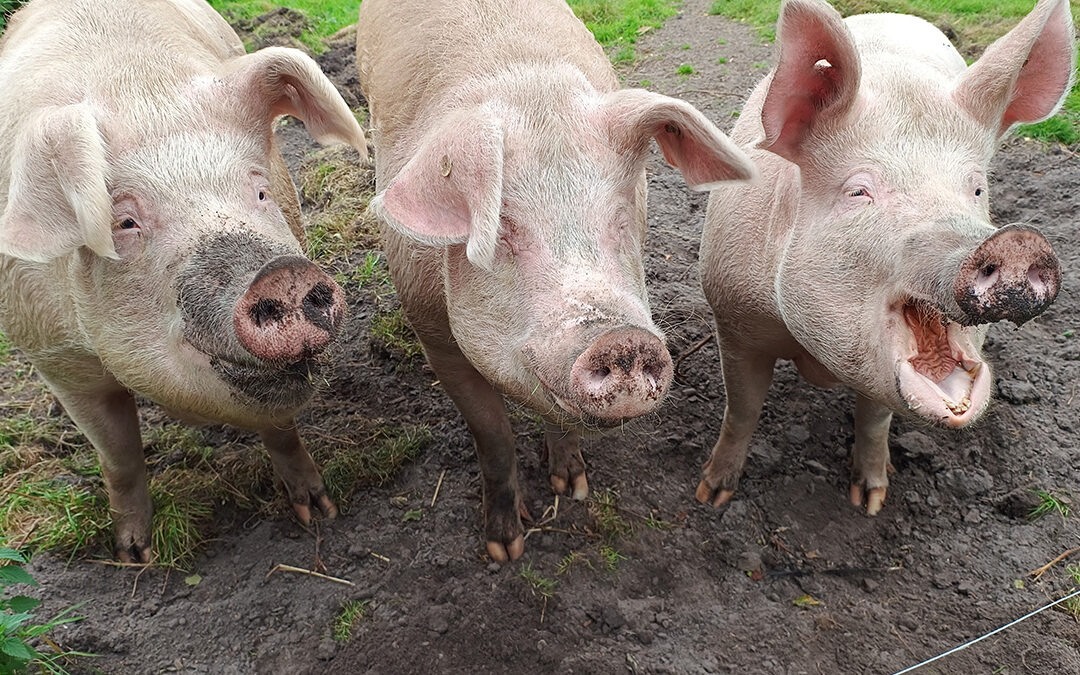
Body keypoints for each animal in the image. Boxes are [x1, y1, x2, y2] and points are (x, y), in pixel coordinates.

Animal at [0, 0, 369, 561]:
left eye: (260, 190)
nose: (279, 275)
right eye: (124, 222)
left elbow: (281, 427)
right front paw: (135, 556)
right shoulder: (56, 358)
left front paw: (317, 511)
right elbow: (119, 455)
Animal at [695, 0, 1075, 516]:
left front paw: (871, 501)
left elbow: (874, 421)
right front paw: (711, 495)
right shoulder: (733, 320)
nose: (1016, 241)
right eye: (859, 191)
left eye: (976, 190)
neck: (814, 354)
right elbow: (742, 408)